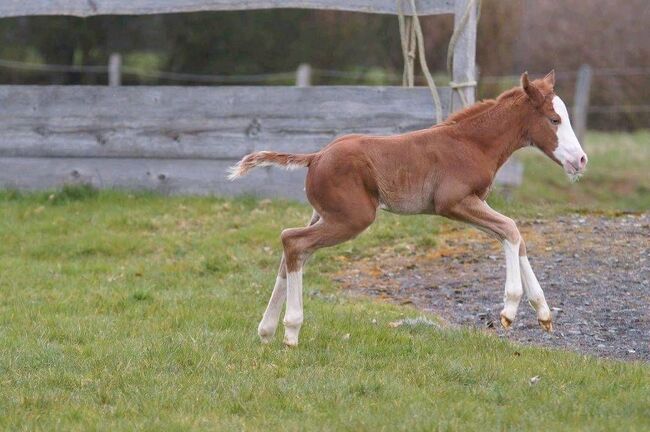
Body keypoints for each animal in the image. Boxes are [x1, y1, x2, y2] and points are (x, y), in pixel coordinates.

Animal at [230, 71, 584, 348]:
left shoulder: (474, 202)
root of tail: (316, 156)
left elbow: (513, 234)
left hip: (325, 214)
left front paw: (543, 313)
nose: (581, 160)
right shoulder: (453, 202)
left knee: (293, 249)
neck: (473, 143)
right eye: (554, 120)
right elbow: (510, 228)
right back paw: (291, 331)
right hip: (353, 218)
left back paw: (267, 330)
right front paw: (509, 309)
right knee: (293, 241)